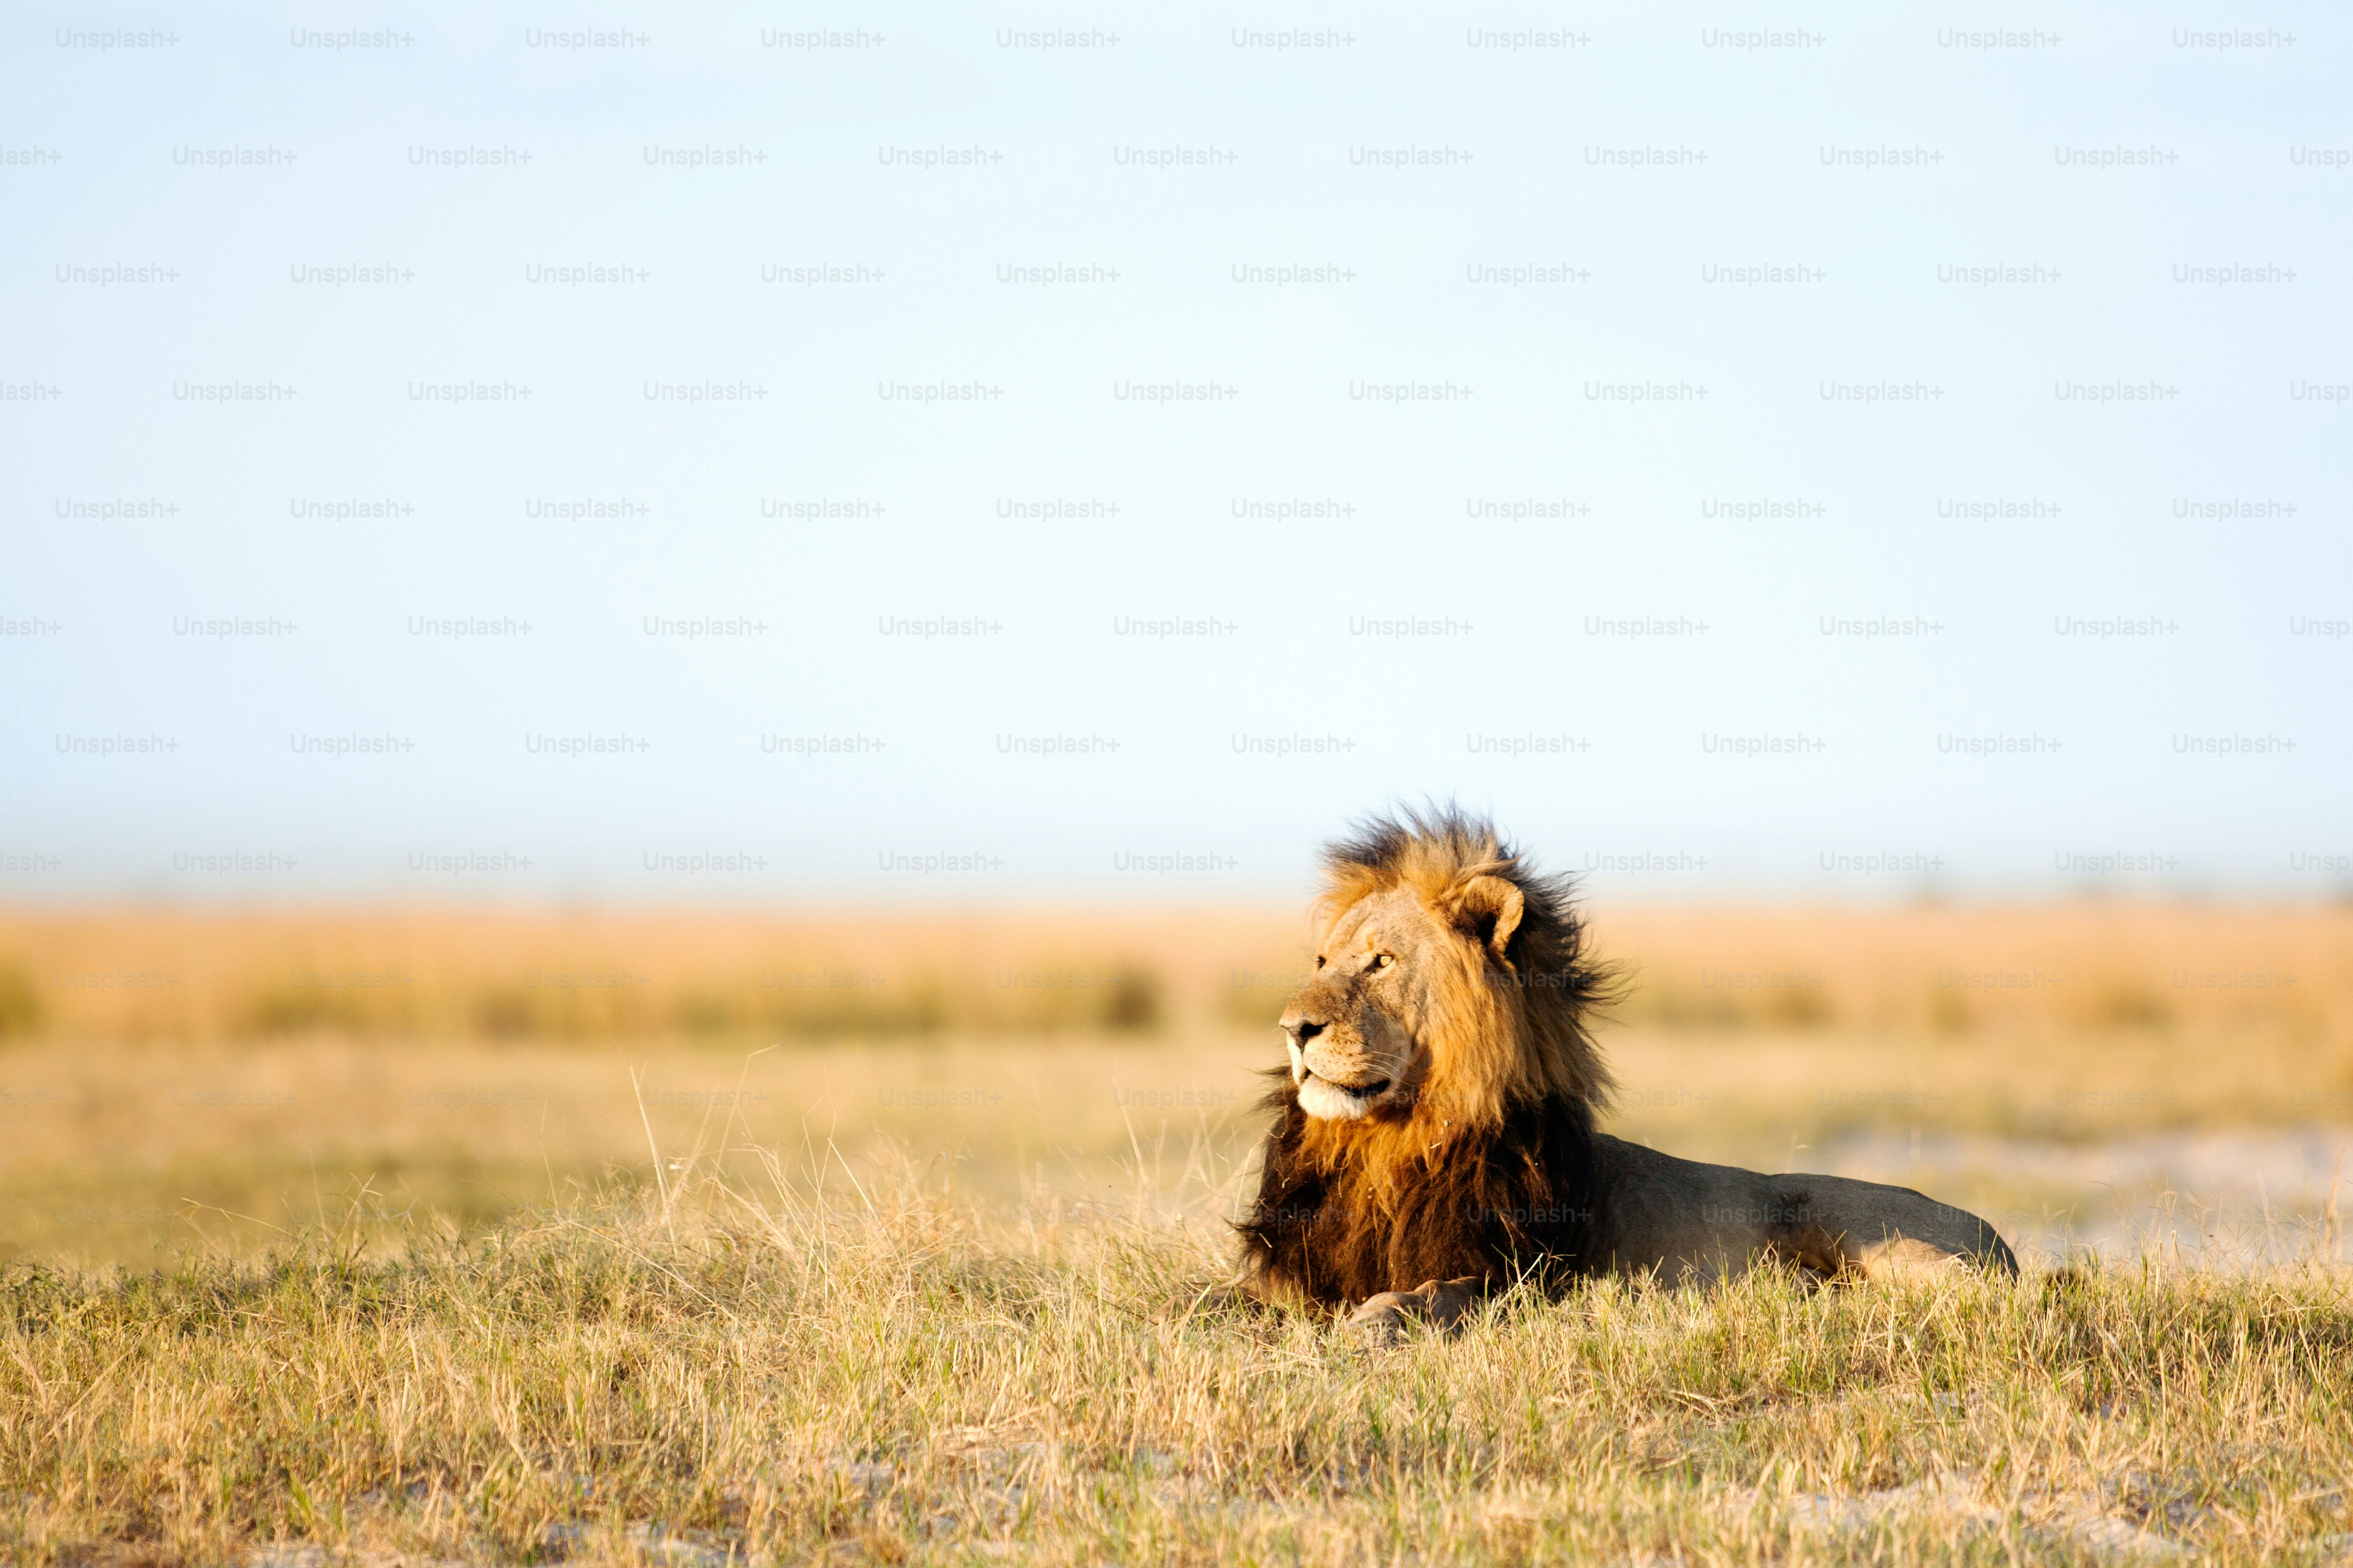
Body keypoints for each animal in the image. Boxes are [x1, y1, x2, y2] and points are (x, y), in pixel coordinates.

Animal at [1232, 809, 2017, 1345]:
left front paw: (1377, 1320)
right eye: (1322, 963)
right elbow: (1214, 1296)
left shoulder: (1526, 1278)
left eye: (1382, 962)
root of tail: (1998, 1239)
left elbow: (1433, 1293)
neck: (1389, 1145)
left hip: (1873, 1230)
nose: (1293, 1027)